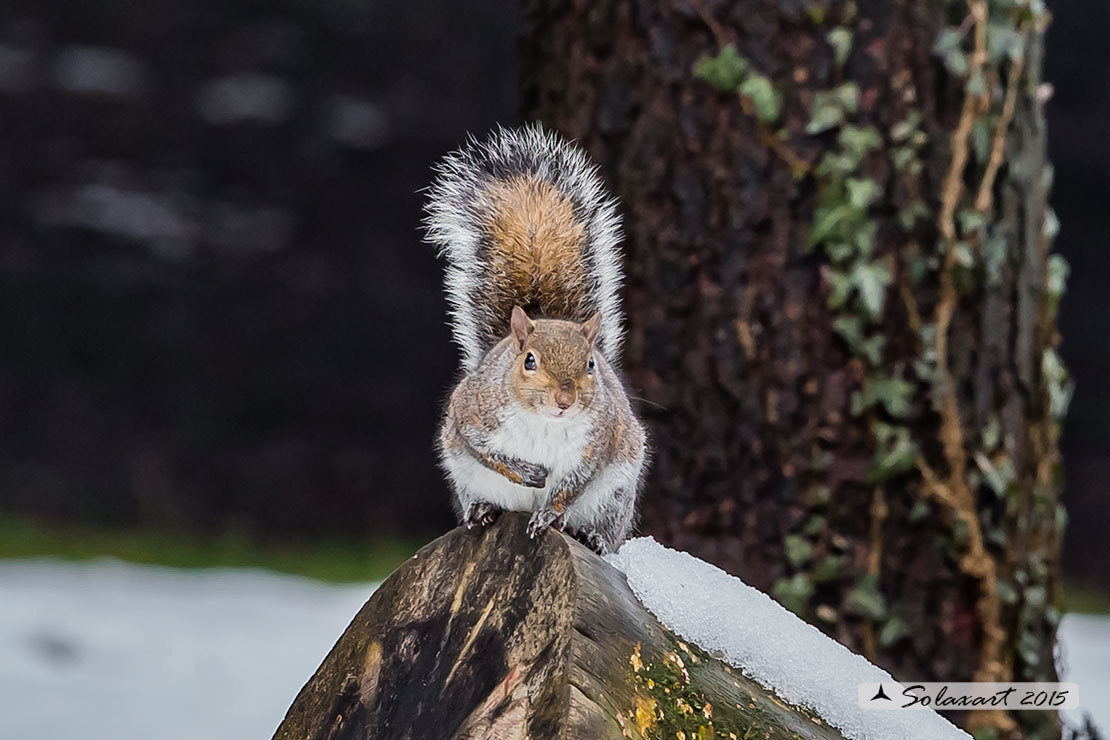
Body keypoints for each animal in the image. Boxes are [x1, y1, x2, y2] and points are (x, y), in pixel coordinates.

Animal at [424, 125, 648, 554]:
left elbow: (569, 486)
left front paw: (549, 514)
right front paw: (524, 472)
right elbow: (484, 450)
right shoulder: (470, 415)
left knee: (605, 525)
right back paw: (481, 509)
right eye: (529, 360)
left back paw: (593, 538)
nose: (564, 400)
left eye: (590, 364)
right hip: (464, 475)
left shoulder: (595, 444)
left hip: (615, 495)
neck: (544, 421)